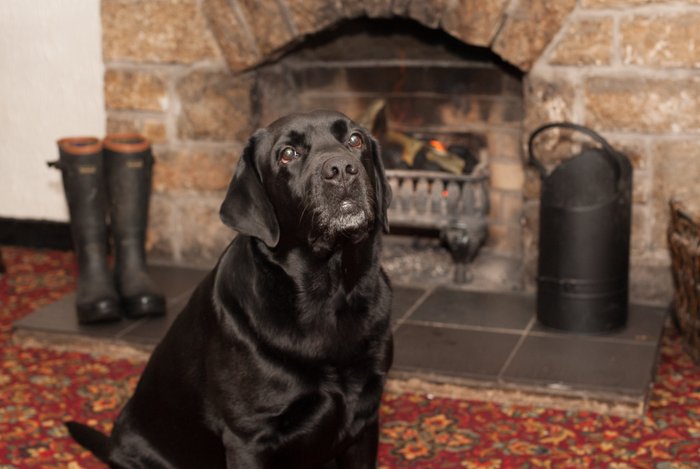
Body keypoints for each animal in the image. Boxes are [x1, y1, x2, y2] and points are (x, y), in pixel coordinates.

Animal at [68, 110, 396, 468]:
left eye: (355, 139)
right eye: (288, 154)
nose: (341, 168)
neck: (329, 293)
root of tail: (113, 443)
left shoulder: (364, 420)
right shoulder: (249, 438)